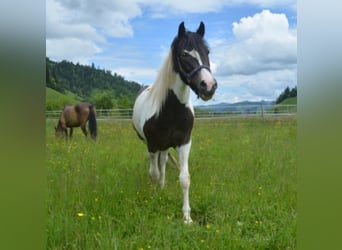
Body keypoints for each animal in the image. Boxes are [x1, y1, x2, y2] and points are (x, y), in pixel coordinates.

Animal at [133, 22, 216, 224]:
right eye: (184, 54)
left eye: (207, 52)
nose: (209, 86)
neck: (169, 111)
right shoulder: (152, 145)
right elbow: (153, 174)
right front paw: (154, 198)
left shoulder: (184, 143)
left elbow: (184, 178)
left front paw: (187, 217)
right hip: (156, 146)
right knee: (157, 166)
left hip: (165, 146)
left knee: (163, 162)